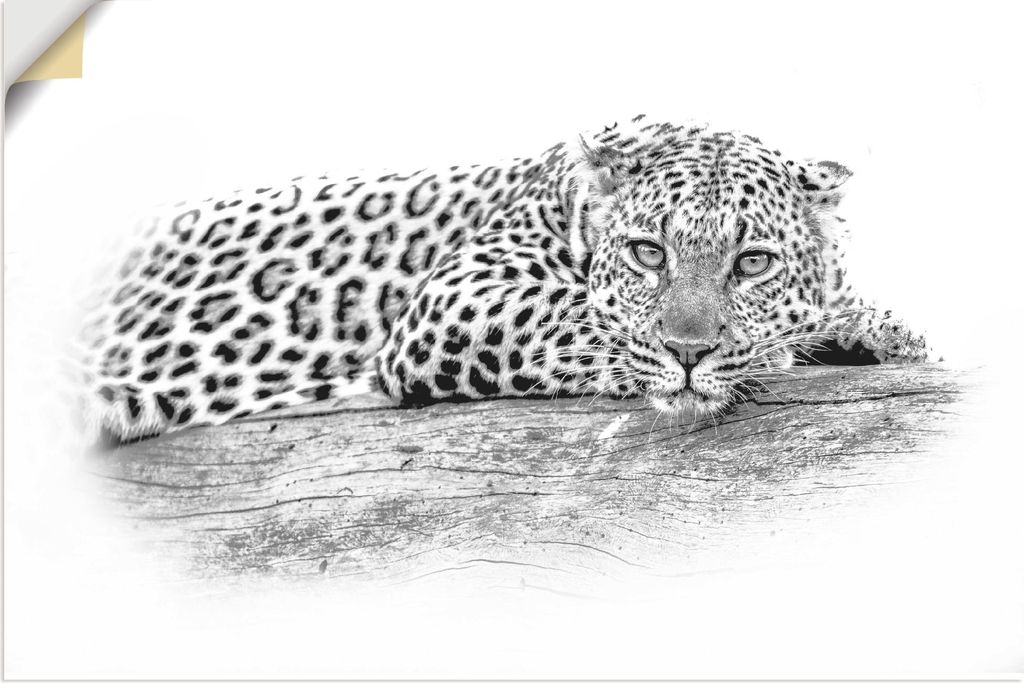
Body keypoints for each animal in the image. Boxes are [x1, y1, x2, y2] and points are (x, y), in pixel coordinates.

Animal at [72, 116, 928, 444]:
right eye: (648, 253)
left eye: (752, 263)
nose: (690, 352)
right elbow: (588, 318)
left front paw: (877, 332)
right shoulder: (454, 301)